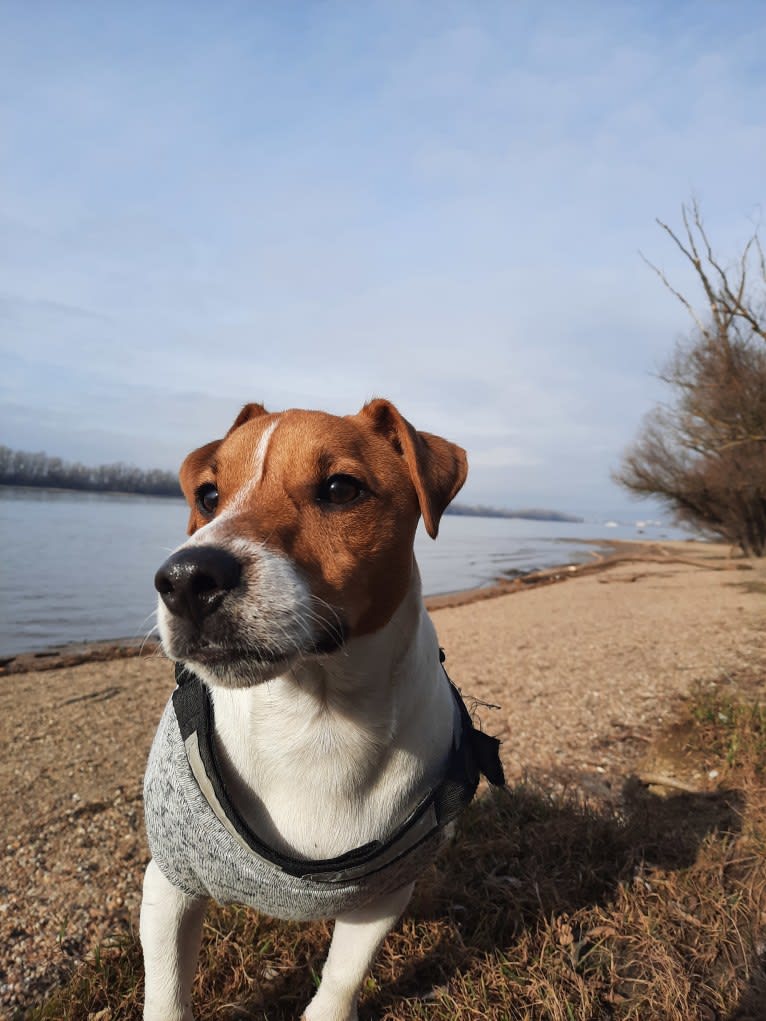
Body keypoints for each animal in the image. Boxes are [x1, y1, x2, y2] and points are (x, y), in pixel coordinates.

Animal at [141, 398, 506, 1021]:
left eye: (340, 489)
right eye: (209, 495)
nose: (187, 579)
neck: (316, 719)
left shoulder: (383, 894)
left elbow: (340, 976)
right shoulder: (169, 883)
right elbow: (166, 997)